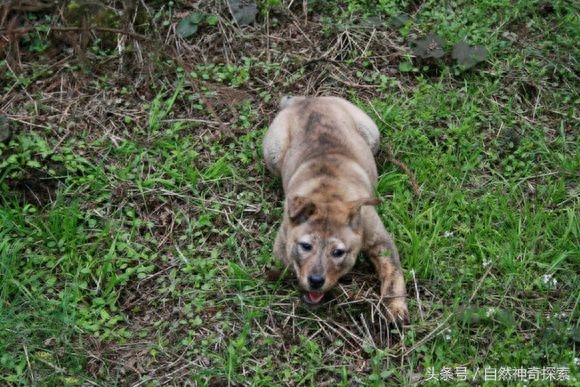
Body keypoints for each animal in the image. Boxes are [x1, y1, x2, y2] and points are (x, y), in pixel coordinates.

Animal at [262, 98, 408, 324]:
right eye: (306, 246)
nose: (315, 281)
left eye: (338, 252)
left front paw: (396, 307)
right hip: (273, 152)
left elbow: (392, 271)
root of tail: (304, 99)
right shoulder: (281, 247)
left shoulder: (379, 239)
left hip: (370, 131)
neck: (328, 197)